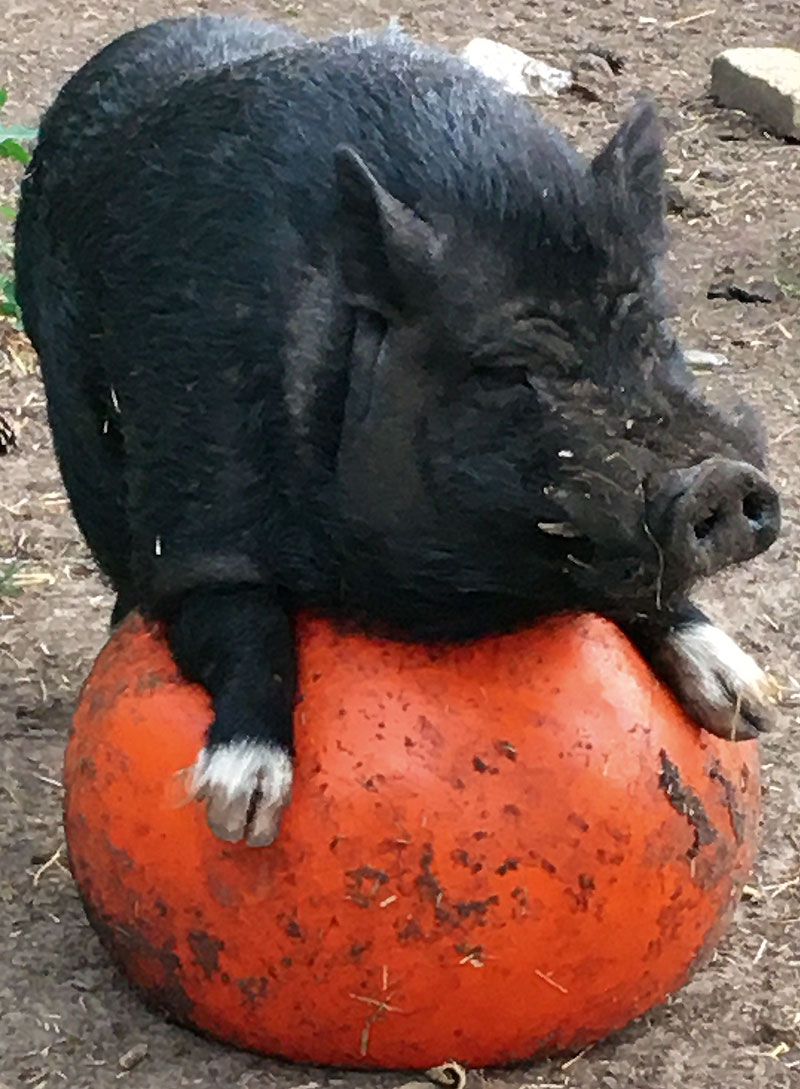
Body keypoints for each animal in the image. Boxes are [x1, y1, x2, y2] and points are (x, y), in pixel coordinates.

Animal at [15, 17, 783, 845]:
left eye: (654, 335)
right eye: (506, 369)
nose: (720, 479)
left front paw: (748, 704)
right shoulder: (194, 497)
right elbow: (240, 619)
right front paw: (242, 811)